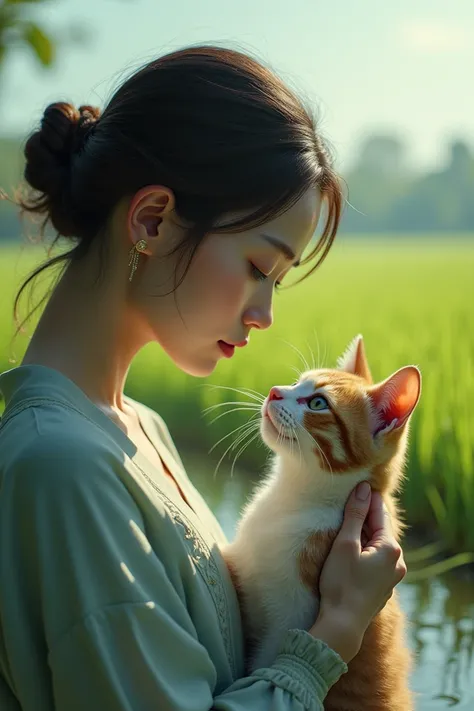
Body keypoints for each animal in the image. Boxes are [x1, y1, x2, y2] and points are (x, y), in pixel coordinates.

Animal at [224, 336, 420, 711]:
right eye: (297, 382)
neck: (292, 499)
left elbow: (267, 665)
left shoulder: (289, 623)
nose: (274, 392)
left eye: (318, 403)